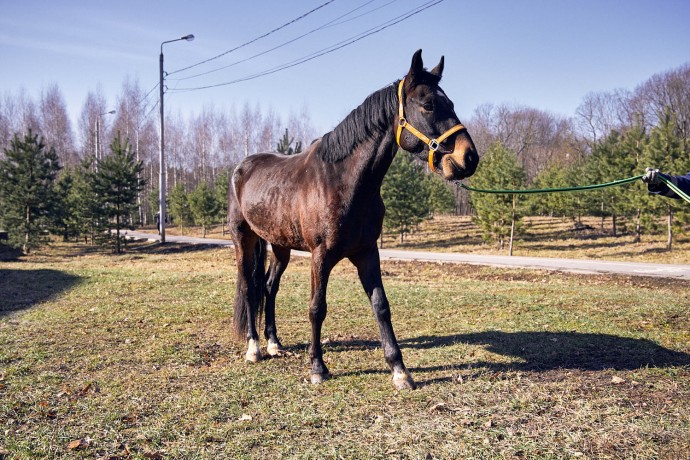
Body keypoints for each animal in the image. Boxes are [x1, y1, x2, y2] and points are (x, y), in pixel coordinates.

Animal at [228, 49, 476, 388]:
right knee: (248, 288)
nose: (469, 157)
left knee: (268, 287)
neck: (343, 181)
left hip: (280, 246)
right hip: (244, 239)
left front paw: (400, 370)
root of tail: (241, 168)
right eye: (428, 105)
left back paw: (274, 343)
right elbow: (317, 308)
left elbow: (381, 306)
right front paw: (317, 368)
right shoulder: (320, 255)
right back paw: (254, 348)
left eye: (450, 103)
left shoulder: (367, 252)